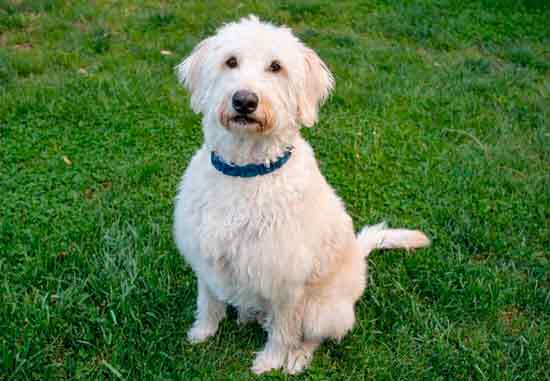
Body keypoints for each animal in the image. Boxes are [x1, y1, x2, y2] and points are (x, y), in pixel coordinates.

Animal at [172, 16, 432, 372]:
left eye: (276, 66)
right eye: (231, 61)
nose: (245, 101)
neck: (246, 172)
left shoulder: (286, 282)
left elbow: (283, 331)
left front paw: (269, 362)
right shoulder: (206, 257)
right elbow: (208, 302)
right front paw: (201, 333)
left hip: (323, 312)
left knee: (312, 336)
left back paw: (296, 358)